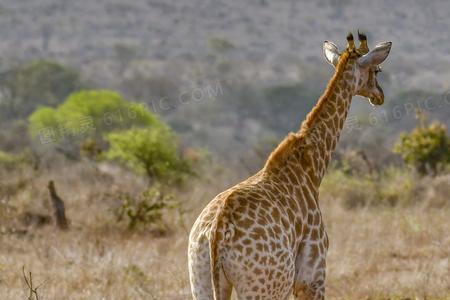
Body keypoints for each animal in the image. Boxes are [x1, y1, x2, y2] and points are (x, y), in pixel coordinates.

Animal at [188, 32, 392, 300]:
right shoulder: (312, 275)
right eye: (377, 70)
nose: (380, 96)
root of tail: (216, 235)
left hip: (201, 279)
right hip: (264, 286)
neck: (312, 166)